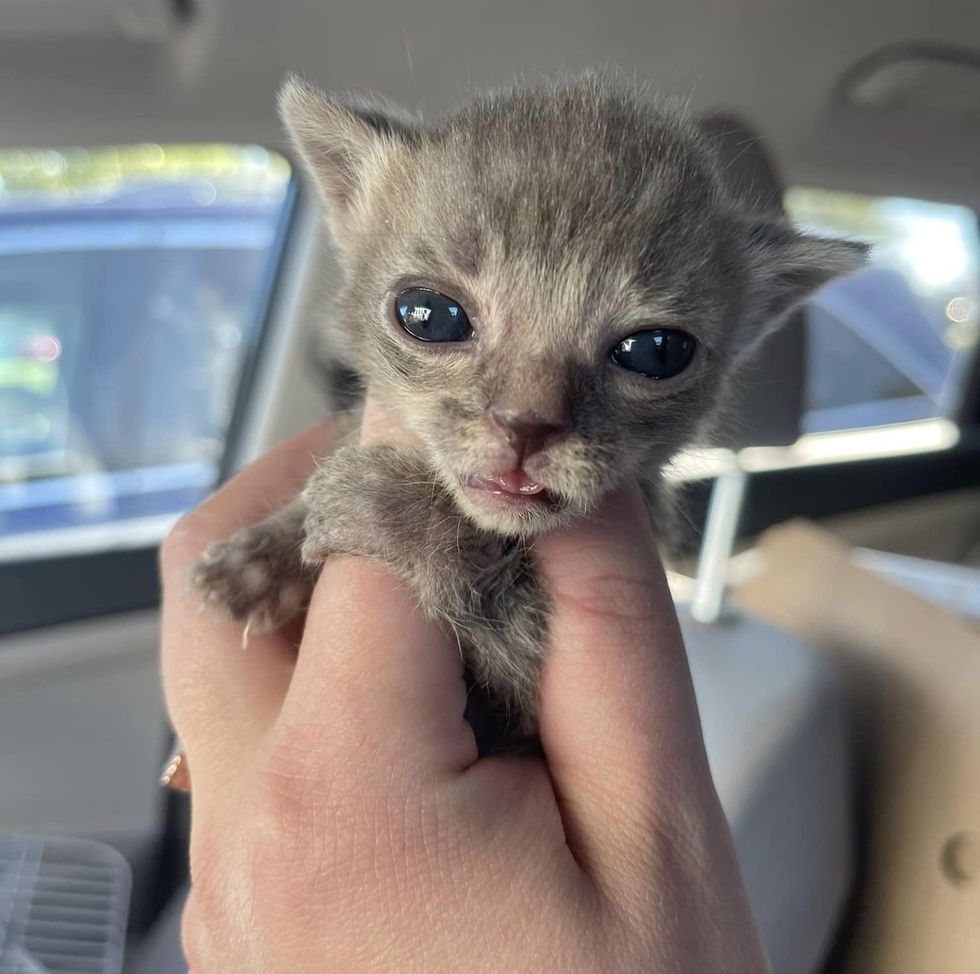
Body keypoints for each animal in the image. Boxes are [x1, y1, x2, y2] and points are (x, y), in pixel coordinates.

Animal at [191, 72, 864, 752]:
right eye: (429, 315)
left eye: (657, 351)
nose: (526, 425)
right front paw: (259, 559)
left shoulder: (522, 708)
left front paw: (378, 502)